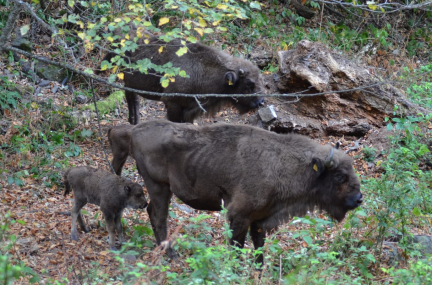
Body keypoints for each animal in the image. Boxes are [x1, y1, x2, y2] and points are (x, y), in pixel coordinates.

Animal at [130, 119, 362, 262]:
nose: (359, 198)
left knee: (152, 213)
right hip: (158, 186)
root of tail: (135, 131)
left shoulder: (259, 220)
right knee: (158, 216)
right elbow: (237, 247)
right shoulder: (239, 215)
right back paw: (171, 255)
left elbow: (259, 249)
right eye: (340, 176)